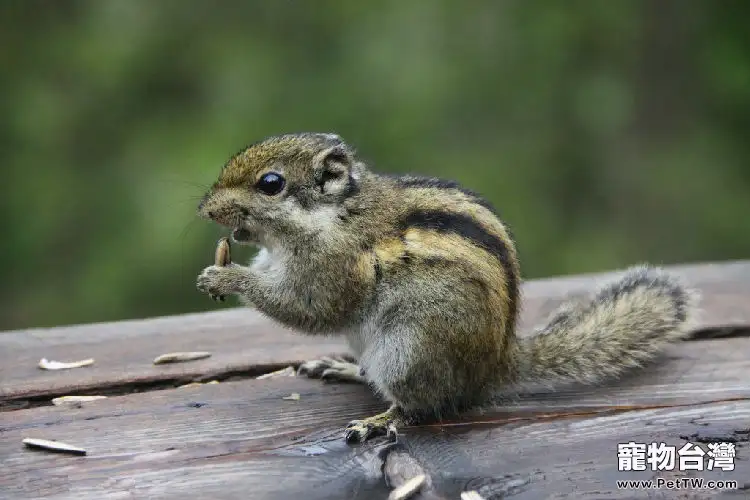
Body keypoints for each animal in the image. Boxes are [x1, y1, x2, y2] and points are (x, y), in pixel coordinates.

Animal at [195, 132, 700, 442]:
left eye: (271, 183)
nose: (204, 209)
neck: (333, 215)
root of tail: (492, 367)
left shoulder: (335, 267)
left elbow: (311, 308)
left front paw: (225, 276)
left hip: (409, 352)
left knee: (420, 406)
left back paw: (379, 419)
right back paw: (346, 369)